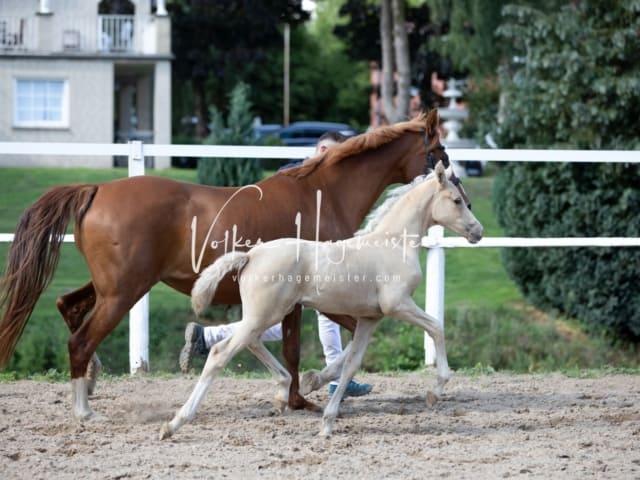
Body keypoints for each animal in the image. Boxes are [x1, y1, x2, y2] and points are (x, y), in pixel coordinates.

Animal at [0, 109, 456, 420]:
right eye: (441, 151)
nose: (456, 183)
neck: (323, 193)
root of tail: (96, 189)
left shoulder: (299, 299)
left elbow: (292, 344)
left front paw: (297, 391)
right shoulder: (316, 297)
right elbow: (301, 347)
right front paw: (301, 394)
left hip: (111, 286)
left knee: (68, 306)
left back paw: (93, 379)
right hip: (124, 291)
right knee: (80, 339)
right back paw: (84, 409)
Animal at [160, 162, 480, 438]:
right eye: (456, 200)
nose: (478, 231)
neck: (393, 244)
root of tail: (250, 255)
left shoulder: (370, 318)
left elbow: (351, 363)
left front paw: (327, 421)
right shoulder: (398, 305)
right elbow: (436, 327)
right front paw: (435, 391)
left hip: (267, 314)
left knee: (250, 342)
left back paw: (282, 392)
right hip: (266, 314)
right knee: (221, 353)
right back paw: (174, 423)